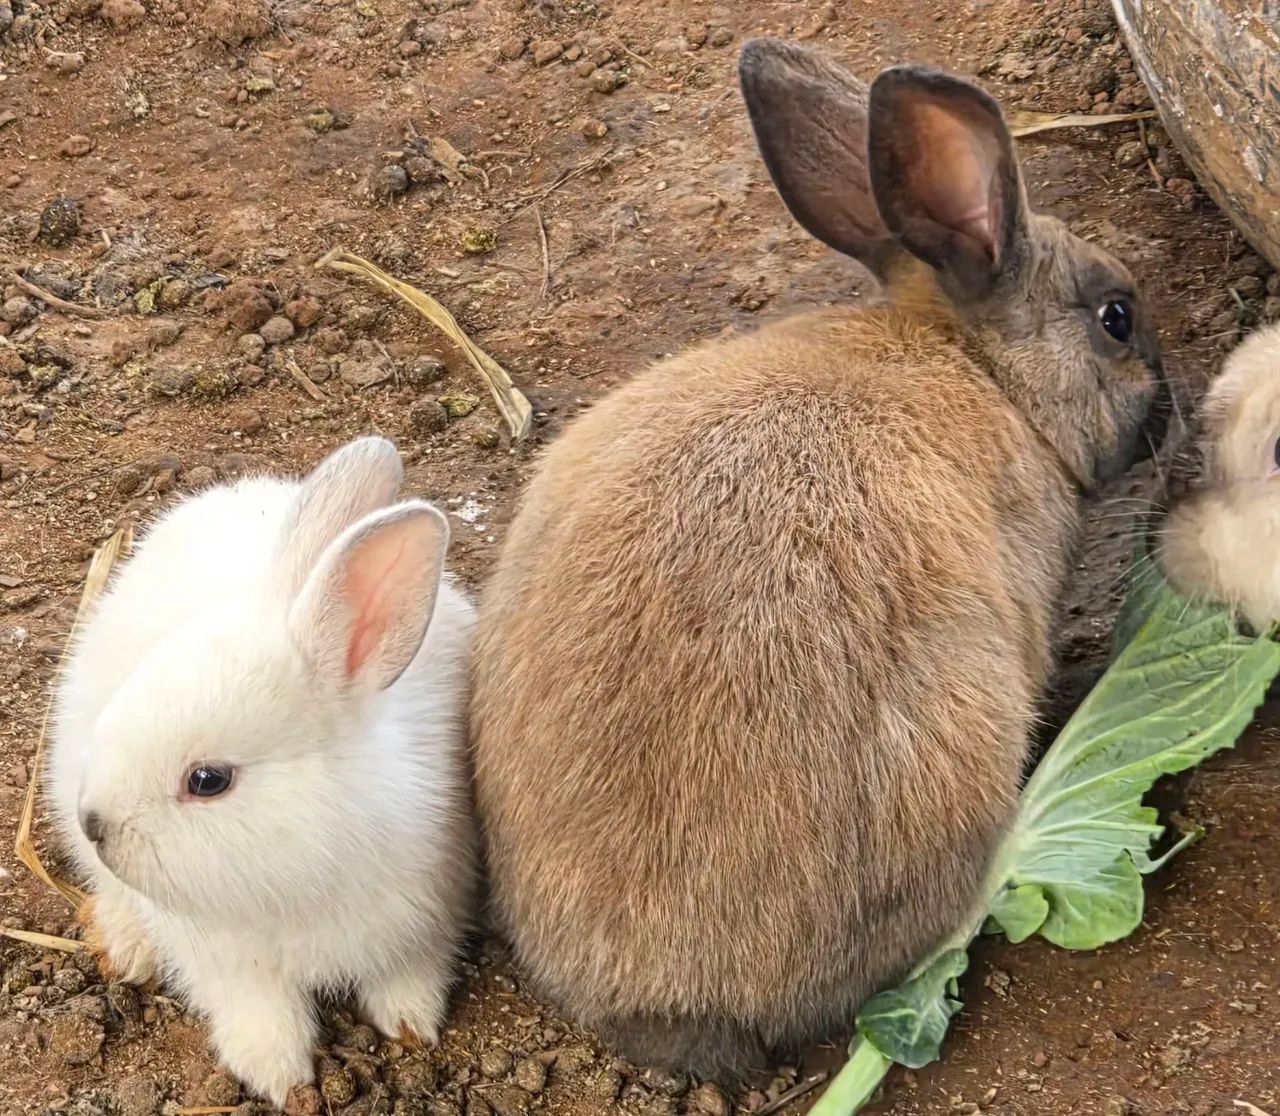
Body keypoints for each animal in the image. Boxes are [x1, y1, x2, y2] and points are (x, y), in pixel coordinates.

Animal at [48, 437, 477, 1107]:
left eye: (208, 781)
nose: (95, 823)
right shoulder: (226, 961)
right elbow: (257, 1010)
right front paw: (280, 1075)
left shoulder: (427, 917)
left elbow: (409, 975)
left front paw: (411, 1026)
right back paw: (129, 947)